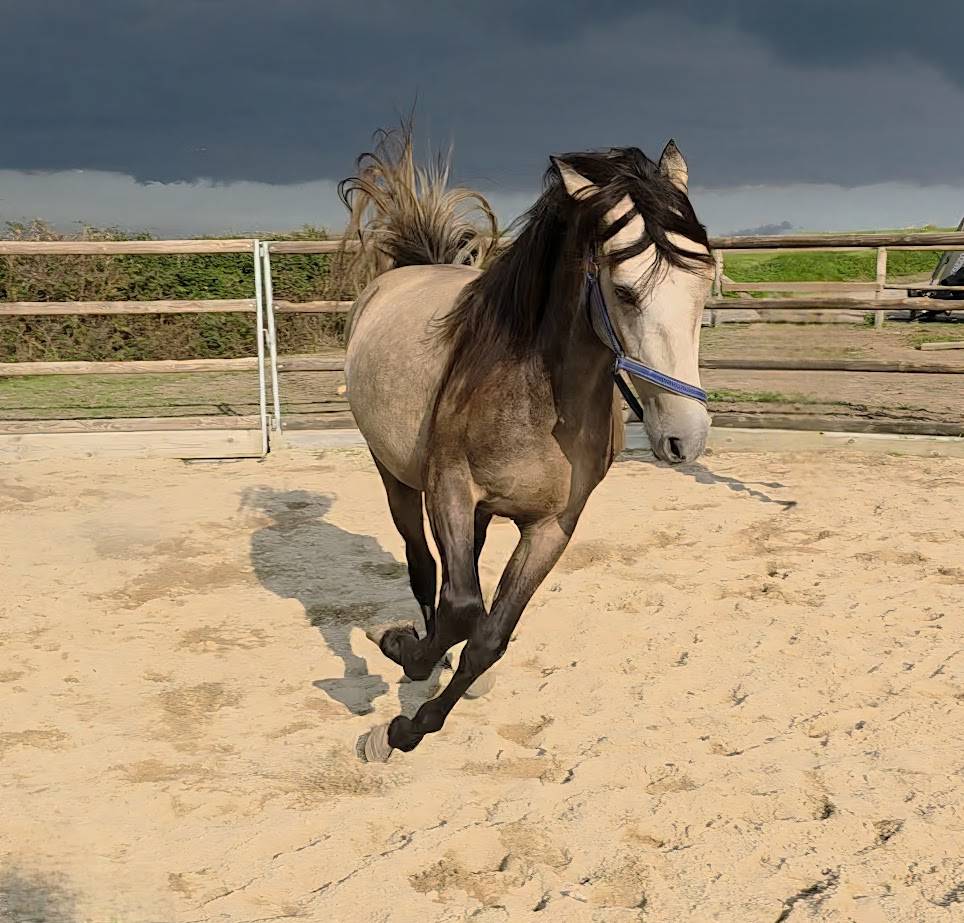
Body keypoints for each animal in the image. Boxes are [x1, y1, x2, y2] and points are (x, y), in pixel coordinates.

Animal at [340, 128, 714, 761]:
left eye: (705, 281)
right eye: (624, 291)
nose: (684, 437)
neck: (538, 395)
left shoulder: (552, 526)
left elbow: (490, 634)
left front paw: (411, 725)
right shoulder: (450, 487)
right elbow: (462, 607)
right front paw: (403, 654)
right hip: (396, 477)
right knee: (425, 568)